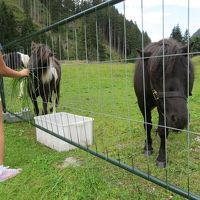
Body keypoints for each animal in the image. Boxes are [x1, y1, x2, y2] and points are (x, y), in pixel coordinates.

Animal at [134, 38, 195, 167]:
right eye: (156, 77)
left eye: (187, 74)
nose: (181, 120)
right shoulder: (143, 104)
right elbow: (147, 125)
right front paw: (148, 147)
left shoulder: (164, 109)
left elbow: (163, 129)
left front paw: (162, 157)